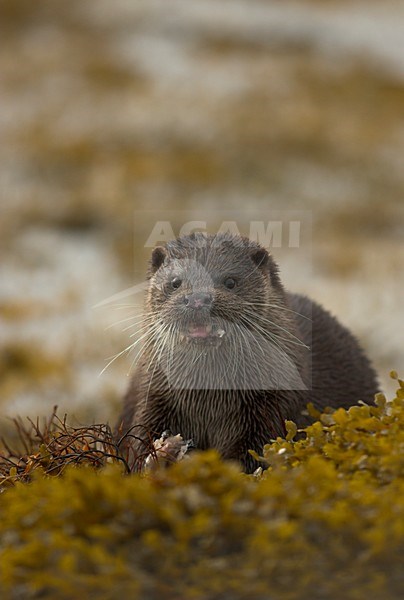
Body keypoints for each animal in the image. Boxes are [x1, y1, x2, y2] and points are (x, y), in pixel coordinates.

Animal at [117, 232, 378, 472]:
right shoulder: (153, 395)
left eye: (230, 281)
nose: (198, 299)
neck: (210, 399)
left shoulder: (273, 407)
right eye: (175, 282)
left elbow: (253, 455)